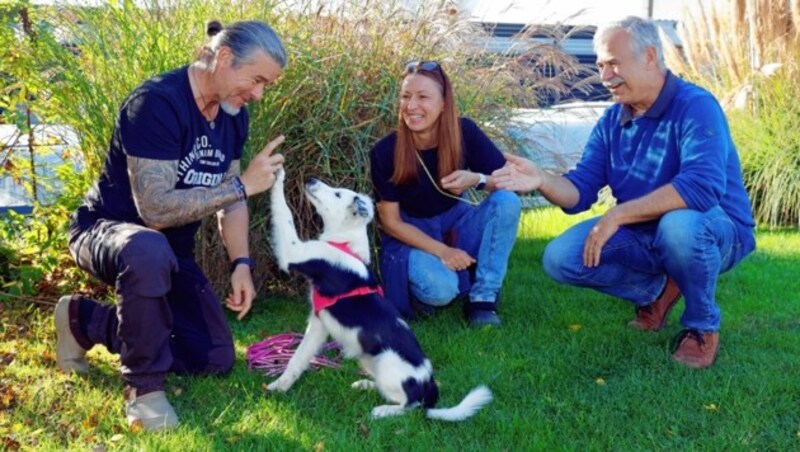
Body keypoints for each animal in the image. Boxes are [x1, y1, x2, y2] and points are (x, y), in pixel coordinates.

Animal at [268, 170, 490, 420]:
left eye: (337, 193)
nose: (311, 179)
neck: (344, 243)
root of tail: (429, 385)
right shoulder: (318, 324)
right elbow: (297, 359)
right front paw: (280, 386)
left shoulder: (296, 252)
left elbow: (284, 213)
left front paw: (278, 175)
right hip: (368, 358)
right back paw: (366, 385)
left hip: (386, 361)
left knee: (410, 405)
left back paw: (382, 411)